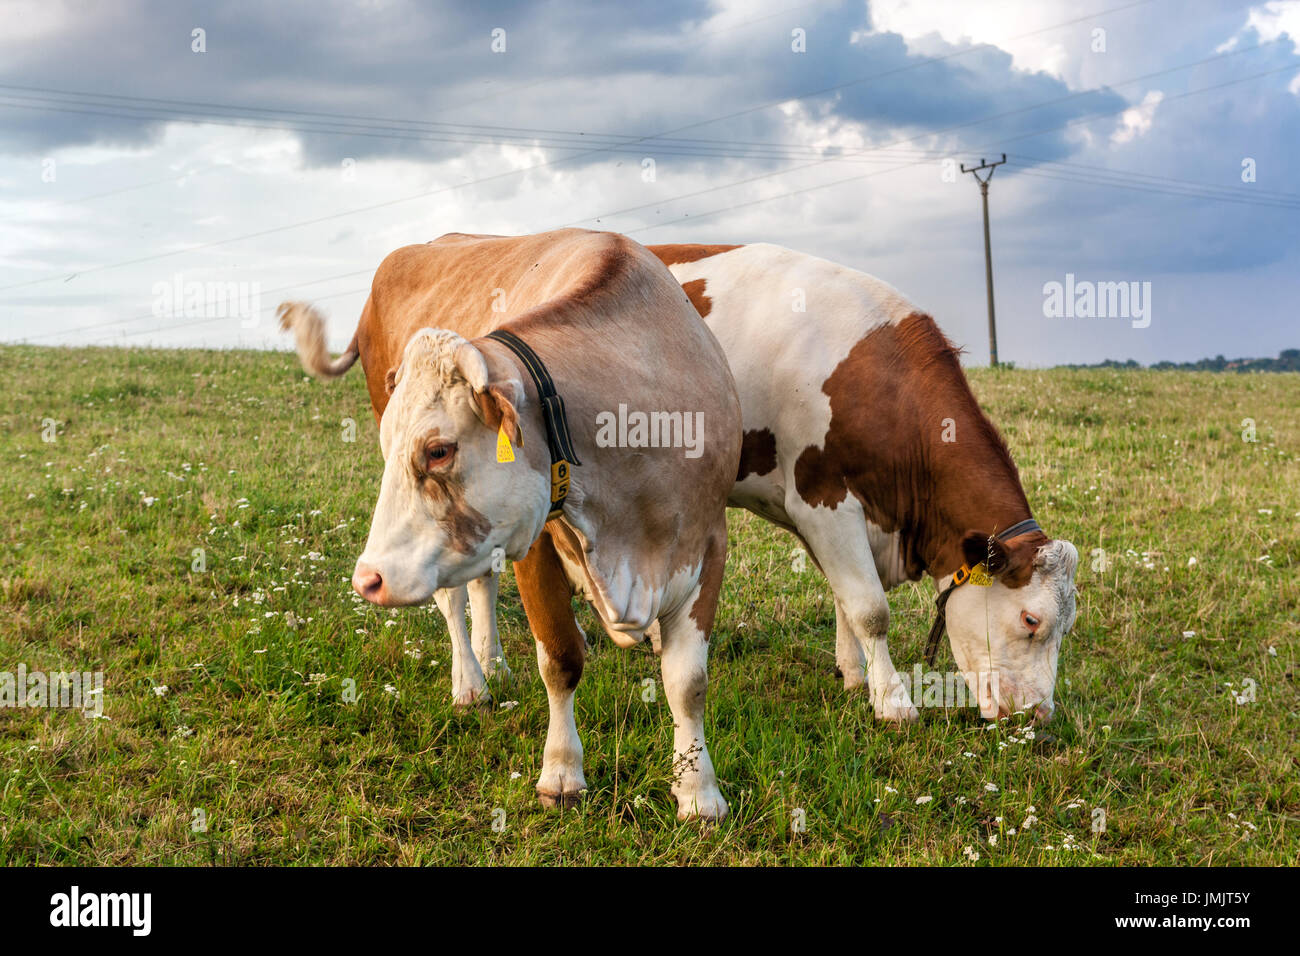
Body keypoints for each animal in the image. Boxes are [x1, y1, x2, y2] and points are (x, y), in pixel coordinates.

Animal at [280, 227, 743, 816]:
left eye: (438, 450)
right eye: (392, 446)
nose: (368, 579)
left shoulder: (708, 540)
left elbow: (688, 681)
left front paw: (699, 794)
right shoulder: (540, 541)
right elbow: (561, 658)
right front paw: (562, 773)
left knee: (480, 582)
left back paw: (493, 661)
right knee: (452, 596)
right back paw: (471, 683)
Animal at [423, 243, 1076, 723]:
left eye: (1066, 626)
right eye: (1031, 621)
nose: (1038, 718)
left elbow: (844, 599)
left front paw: (853, 675)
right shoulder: (821, 495)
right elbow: (870, 608)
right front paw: (893, 703)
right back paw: (482, 673)